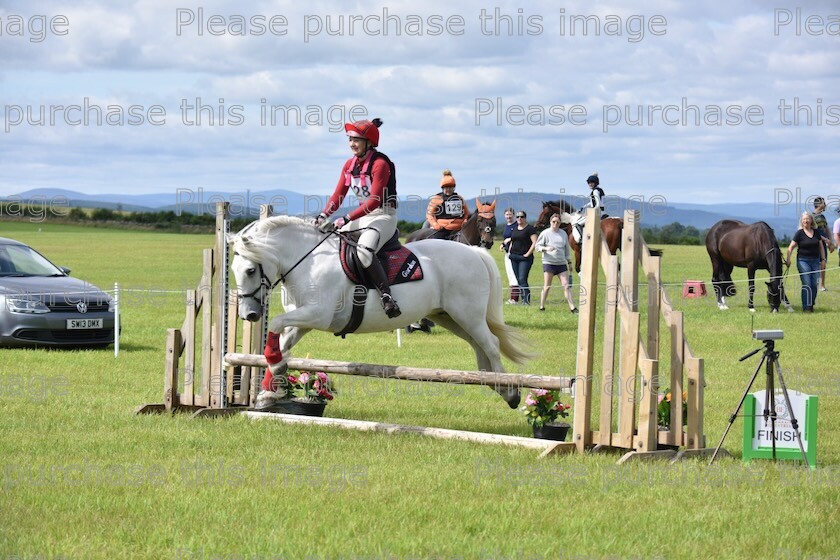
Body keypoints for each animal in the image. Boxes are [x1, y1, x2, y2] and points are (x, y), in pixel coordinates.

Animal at [226, 217, 536, 410]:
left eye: (251, 270)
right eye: (233, 271)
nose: (249, 315)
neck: (309, 260)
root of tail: (474, 252)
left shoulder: (318, 315)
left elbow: (277, 323)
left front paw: (273, 381)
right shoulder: (303, 321)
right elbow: (281, 342)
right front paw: (270, 389)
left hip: (467, 313)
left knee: (491, 344)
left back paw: (509, 391)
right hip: (449, 316)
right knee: (478, 345)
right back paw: (492, 382)